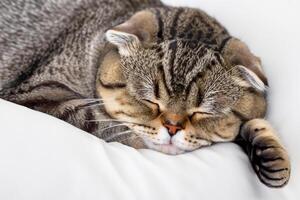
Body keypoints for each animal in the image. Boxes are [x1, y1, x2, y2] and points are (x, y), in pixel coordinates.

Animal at [0, 0, 290, 188]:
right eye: (151, 100)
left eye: (202, 112)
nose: (172, 127)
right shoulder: (40, 91)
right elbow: (111, 126)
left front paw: (268, 150)